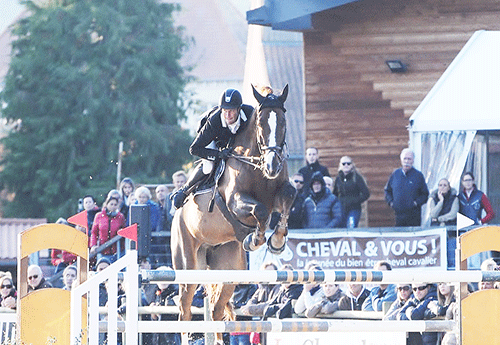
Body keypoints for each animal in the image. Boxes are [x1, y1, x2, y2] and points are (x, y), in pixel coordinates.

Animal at [172, 84, 296, 342]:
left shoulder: (281, 192)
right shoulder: (236, 202)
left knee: (217, 308)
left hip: (228, 268)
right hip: (188, 265)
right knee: (184, 309)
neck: (257, 164)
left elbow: (289, 195)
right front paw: (255, 239)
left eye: (283, 122)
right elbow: (260, 210)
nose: (272, 166)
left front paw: (277, 241)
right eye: (260, 123)